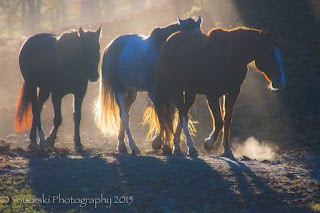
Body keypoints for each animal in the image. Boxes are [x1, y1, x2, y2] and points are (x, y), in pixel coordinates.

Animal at [94, 16, 201, 155]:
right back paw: (133, 146)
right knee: (124, 115)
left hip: (131, 92)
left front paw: (176, 145)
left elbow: (180, 114)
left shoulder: (185, 92)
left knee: (125, 112)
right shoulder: (157, 92)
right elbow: (163, 116)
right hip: (119, 89)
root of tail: (110, 46)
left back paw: (122, 145)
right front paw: (163, 144)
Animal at [148, 27, 288, 158]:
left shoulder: (232, 93)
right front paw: (209, 143)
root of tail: (168, 43)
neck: (231, 57)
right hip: (176, 89)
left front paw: (227, 150)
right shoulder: (212, 96)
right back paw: (188, 148)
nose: (281, 81)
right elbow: (219, 121)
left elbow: (227, 120)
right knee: (182, 114)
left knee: (183, 113)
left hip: (190, 92)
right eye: (268, 54)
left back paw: (176, 145)